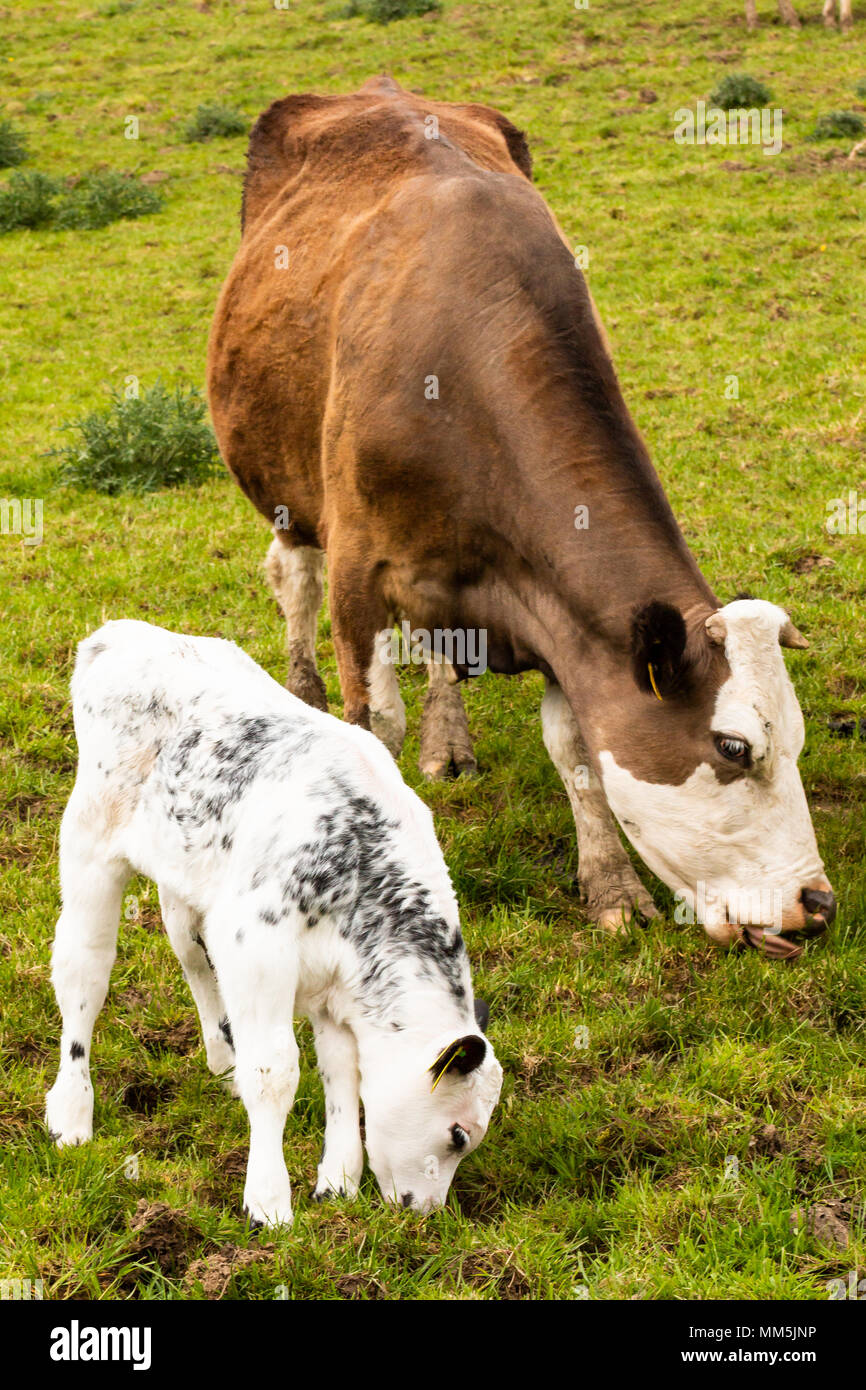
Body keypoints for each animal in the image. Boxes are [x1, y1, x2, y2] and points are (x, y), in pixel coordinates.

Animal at [44, 620, 502, 1227]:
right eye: (457, 1134)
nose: (425, 1211)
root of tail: (118, 634)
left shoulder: (336, 987)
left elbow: (341, 1073)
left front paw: (338, 1181)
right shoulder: (257, 949)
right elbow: (275, 1072)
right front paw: (267, 1199)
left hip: (185, 873)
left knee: (190, 957)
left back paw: (222, 1060)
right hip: (91, 845)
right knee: (84, 972)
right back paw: (71, 1113)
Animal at [207, 77, 836, 960]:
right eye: (733, 746)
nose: (818, 905)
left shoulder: (561, 616)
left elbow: (577, 754)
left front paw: (612, 889)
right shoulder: (360, 573)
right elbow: (375, 724)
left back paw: (449, 742)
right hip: (283, 486)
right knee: (291, 578)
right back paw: (304, 687)